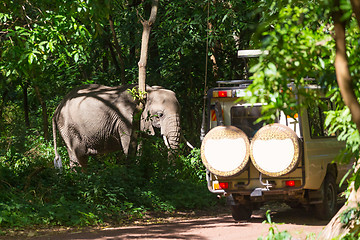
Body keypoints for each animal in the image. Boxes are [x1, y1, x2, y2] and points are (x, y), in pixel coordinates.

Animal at [52, 84, 180, 169]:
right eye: (160, 115)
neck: (148, 91)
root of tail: (56, 109)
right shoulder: (126, 119)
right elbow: (131, 146)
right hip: (69, 126)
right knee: (80, 154)